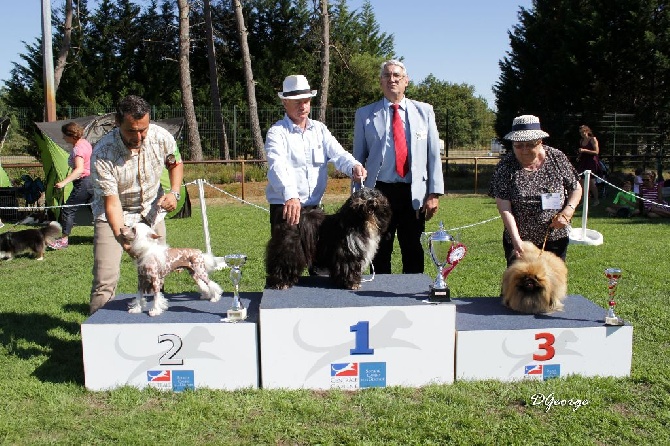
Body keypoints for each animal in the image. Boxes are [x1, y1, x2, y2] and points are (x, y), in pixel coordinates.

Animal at [266, 187, 394, 290]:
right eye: (362, 197)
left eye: (375, 195)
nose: (371, 201)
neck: (359, 221)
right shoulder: (347, 252)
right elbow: (349, 267)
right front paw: (352, 283)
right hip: (289, 249)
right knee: (281, 263)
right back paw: (281, 283)